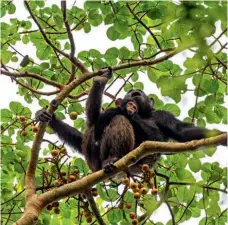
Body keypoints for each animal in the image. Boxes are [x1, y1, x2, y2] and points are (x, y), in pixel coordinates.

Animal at [36, 68, 225, 174]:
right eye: (130, 91)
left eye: (139, 92)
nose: (135, 92)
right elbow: (93, 125)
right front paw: (49, 118)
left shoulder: (164, 116)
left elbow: (177, 132)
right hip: (94, 160)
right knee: (93, 129)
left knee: (118, 120)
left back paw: (113, 158)